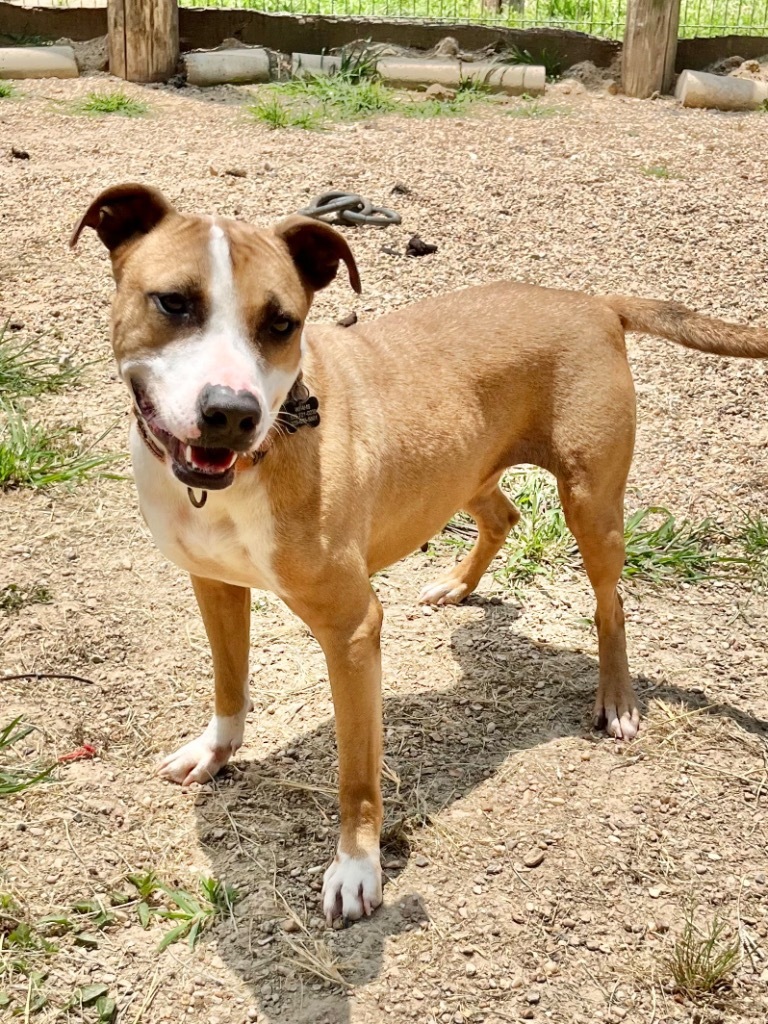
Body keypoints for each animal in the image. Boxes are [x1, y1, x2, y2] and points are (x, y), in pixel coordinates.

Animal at [72, 186, 768, 929]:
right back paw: (457, 587)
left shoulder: (351, 631)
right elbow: (228, 683)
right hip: (464, 466)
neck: (268, 447)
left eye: (282, 323)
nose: (231, 412)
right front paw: (215, 750)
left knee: (612, 603)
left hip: (591, 504)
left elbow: (355, 773)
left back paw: (616, 699)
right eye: (174, 302)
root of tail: (592, 301)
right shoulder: (213, 583)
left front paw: (357, 867)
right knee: (504, 516)